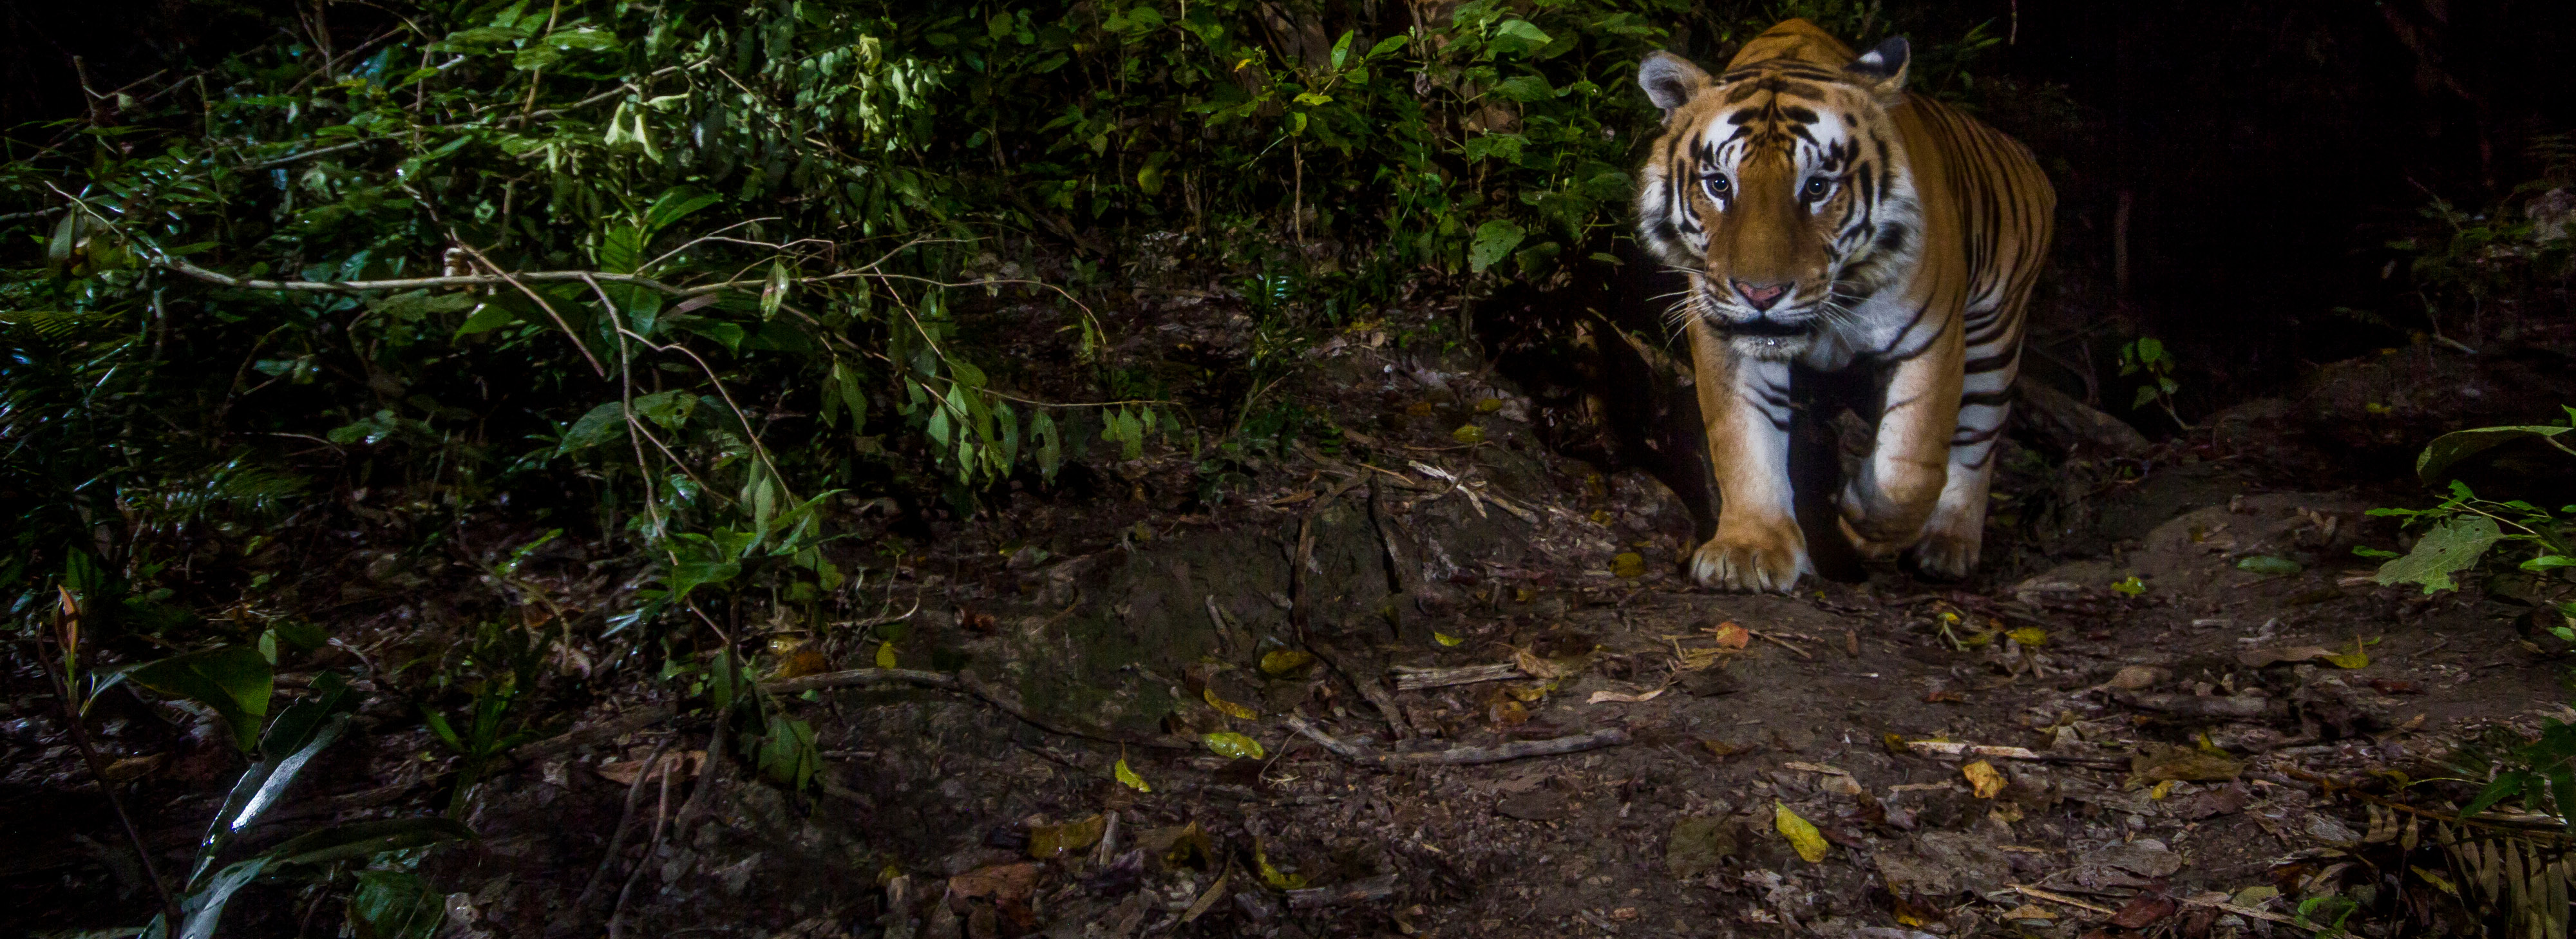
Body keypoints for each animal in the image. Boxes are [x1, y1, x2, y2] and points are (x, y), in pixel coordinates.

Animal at [1638, 18, 2061, 591]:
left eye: (1818, 187)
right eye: (1720, 185)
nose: (1760, 294)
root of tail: (2025, 156)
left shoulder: (1934, 339)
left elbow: (1911, 466)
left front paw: (1862, 519)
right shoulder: (1724, 331)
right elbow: (1743, 439)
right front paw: (1749, 551)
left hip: (1995, 339)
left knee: (1978, 442)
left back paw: (1947, 546)